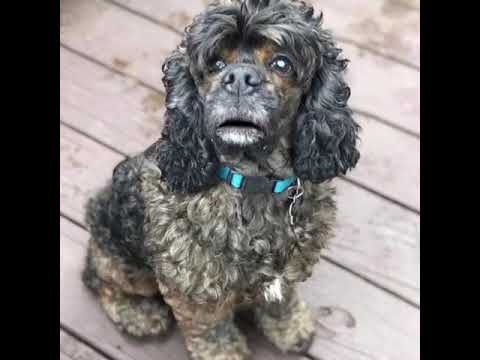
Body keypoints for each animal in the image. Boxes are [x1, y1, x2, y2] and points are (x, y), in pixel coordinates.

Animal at [82, 1, 360, 358]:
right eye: (216, 64)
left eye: (282, 63)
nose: (239, 78)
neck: (254, 181)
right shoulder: (197, 293)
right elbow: (214, 334)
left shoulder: (287, 269)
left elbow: (281, 302)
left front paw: (290, 328)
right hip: (123, 260)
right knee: (99, 279)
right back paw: (137, 313)